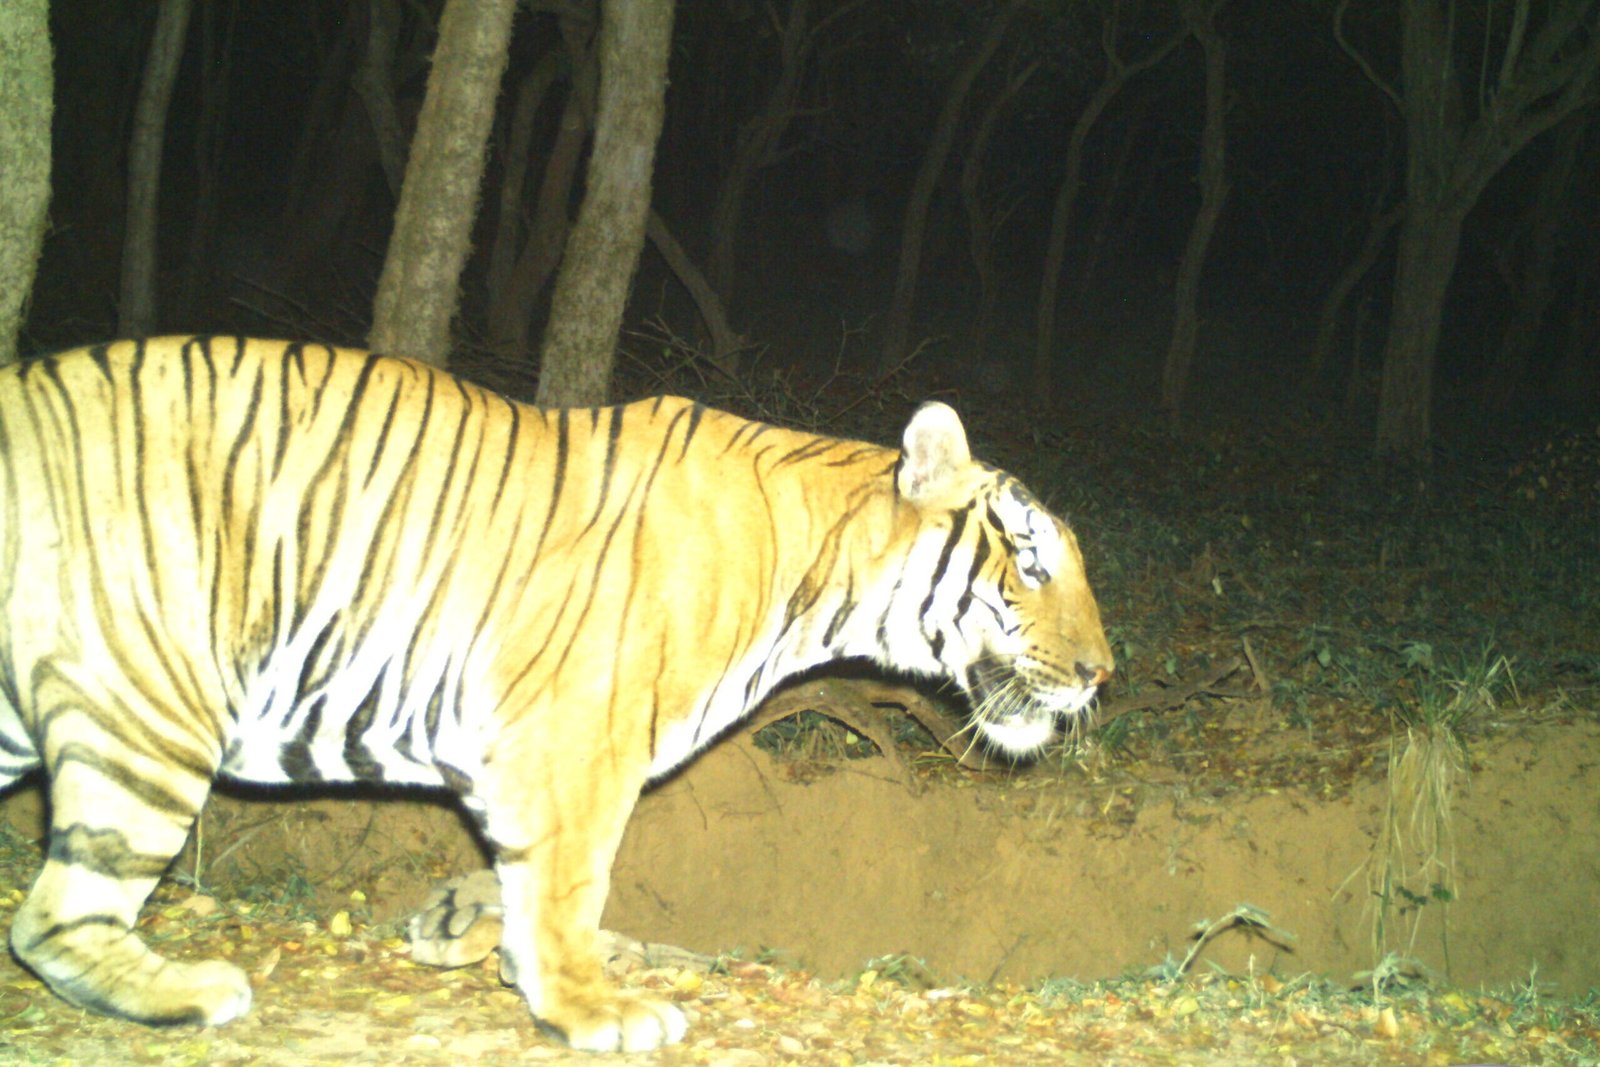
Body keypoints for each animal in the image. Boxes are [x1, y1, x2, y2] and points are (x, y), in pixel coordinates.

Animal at [0, 336, 1113, 1052]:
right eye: (1032, 561)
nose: (1103, 672)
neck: (821, 570)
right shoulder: (576, 740)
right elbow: (573, 882)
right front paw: (591, 1007)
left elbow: (523, 880)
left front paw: (488, 946)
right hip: (149, 697)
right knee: (54, 916)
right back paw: (195, 990)